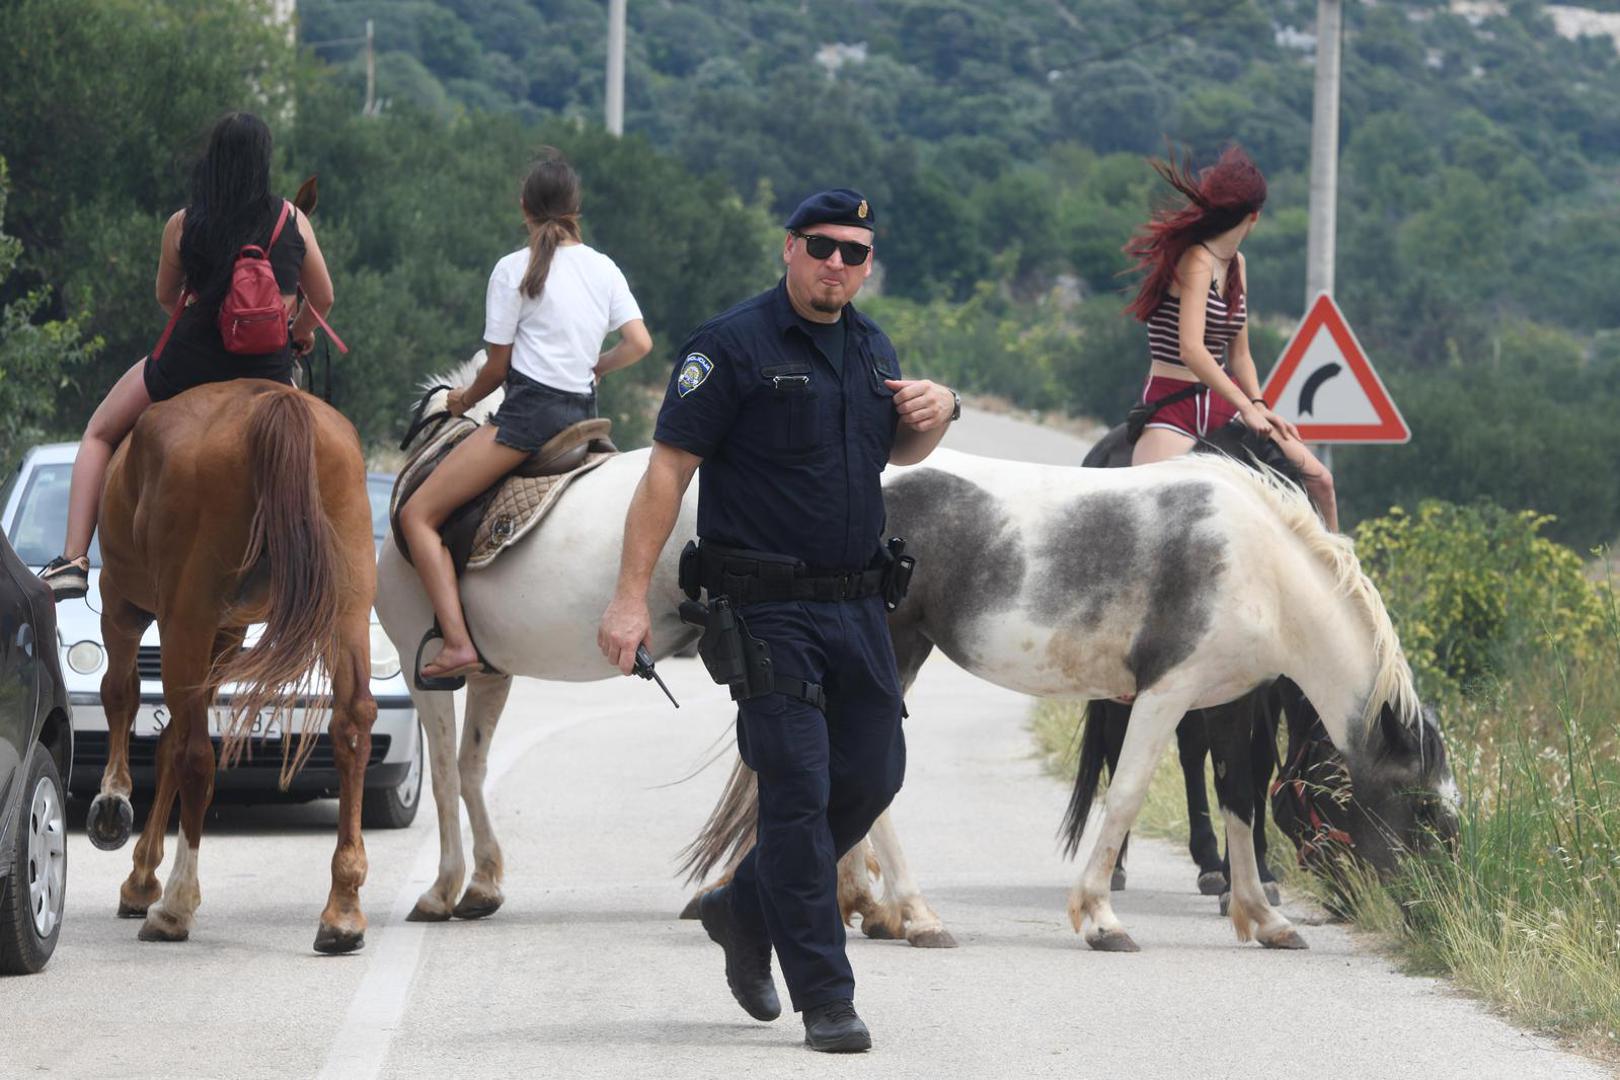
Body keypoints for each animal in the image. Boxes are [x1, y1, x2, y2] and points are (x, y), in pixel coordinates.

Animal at [85, 375, 375, 952]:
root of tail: (272, 404)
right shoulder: (227, 632)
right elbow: (165, 734)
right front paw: (140, 874)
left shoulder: (123, 607)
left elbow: (123, 696)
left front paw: (113, 805)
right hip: (348, 608)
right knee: (351, 725)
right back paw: (342, 911)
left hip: (183, 615)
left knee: (197, 755)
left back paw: (175, 906)